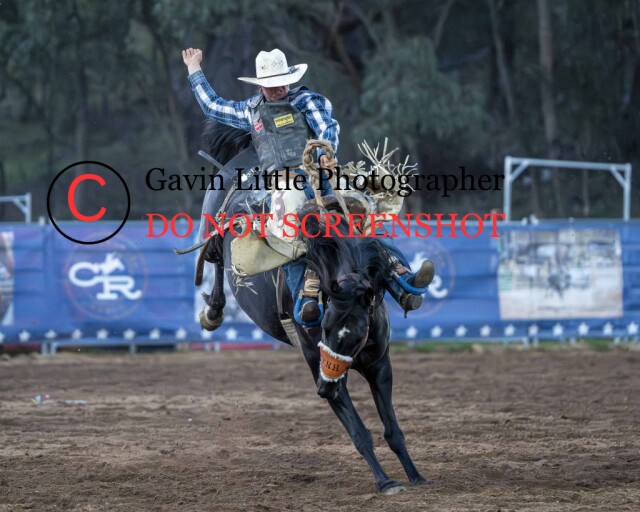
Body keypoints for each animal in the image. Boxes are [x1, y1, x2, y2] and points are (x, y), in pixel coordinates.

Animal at [195, 120, 430, 494]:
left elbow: (393, 429)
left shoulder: (379, 364)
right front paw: (384, 481)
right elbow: (360, 433)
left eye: (356, 335)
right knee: (214, 255)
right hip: (212, 221)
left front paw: (414, 475)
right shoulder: (315, 360)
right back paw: (213, 312)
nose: (323, 388)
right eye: (325, 328)